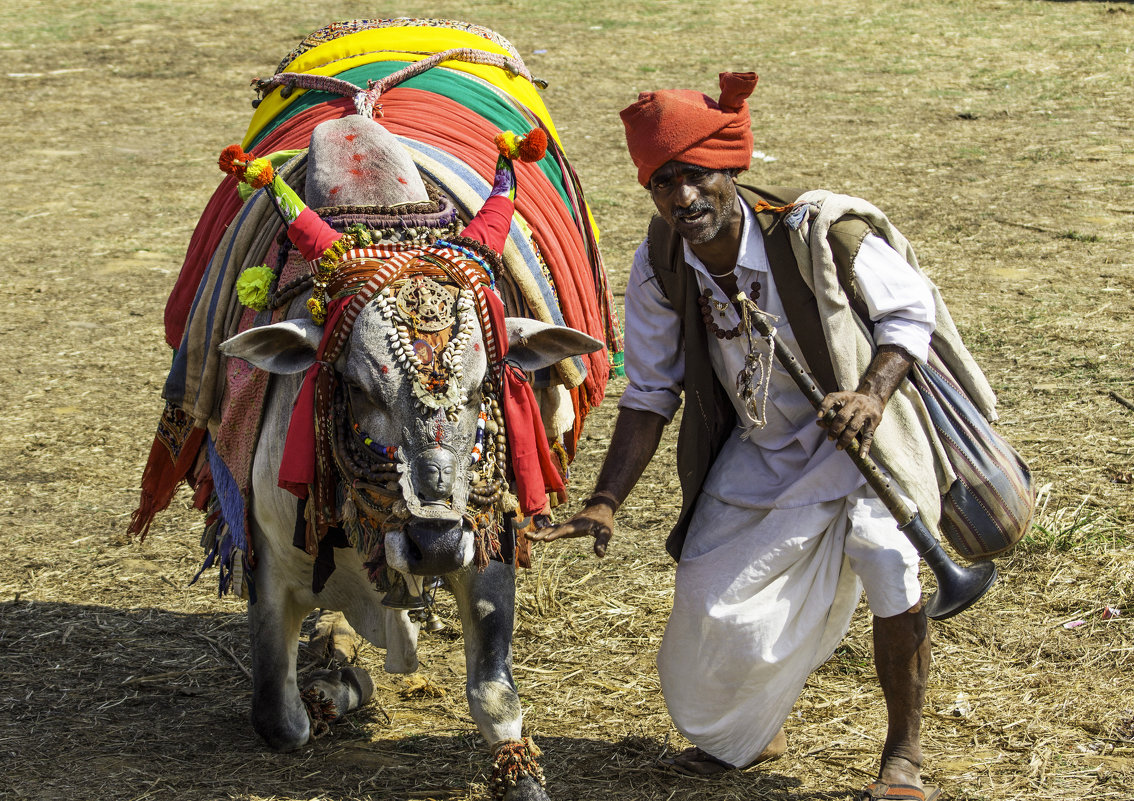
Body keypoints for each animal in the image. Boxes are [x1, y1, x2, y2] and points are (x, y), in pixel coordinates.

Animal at [134, 20, 630, 798]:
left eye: (485, 387)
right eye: (359, 389)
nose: (433, 545)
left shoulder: (488, 547)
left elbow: (494, 693)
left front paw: (518, 770)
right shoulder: (270, 565)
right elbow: (279, 717)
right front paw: (336, 683)